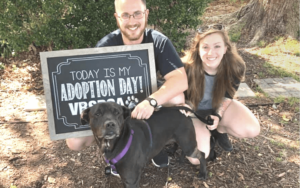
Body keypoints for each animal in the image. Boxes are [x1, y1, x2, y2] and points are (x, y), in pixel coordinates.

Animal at [81, 103, 209, 188]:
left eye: (117, 113)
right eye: (97, 114)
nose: (110, 124)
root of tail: (180, 110)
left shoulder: (131, 180)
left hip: (188, 146)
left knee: (201, 154)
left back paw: (203, 173)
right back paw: (174, 153)